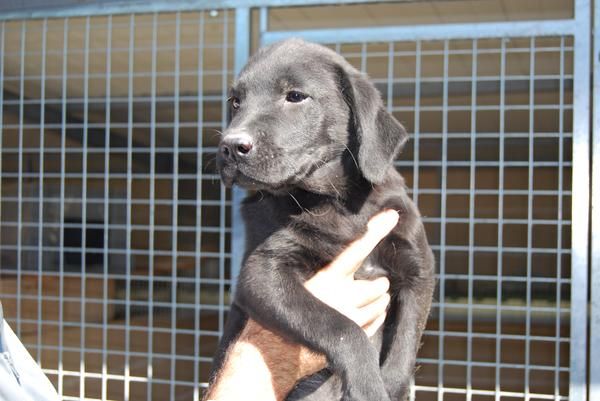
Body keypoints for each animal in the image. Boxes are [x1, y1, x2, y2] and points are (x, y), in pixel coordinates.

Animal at [212, 38, 436, 400]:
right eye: (236, 102)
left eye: (295, 96)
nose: (229, 147)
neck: (331, 200)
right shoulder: (260, 273)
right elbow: (340, 326)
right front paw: (368, 386)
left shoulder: (418, 266)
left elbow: (405, 341)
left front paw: (389, 385)